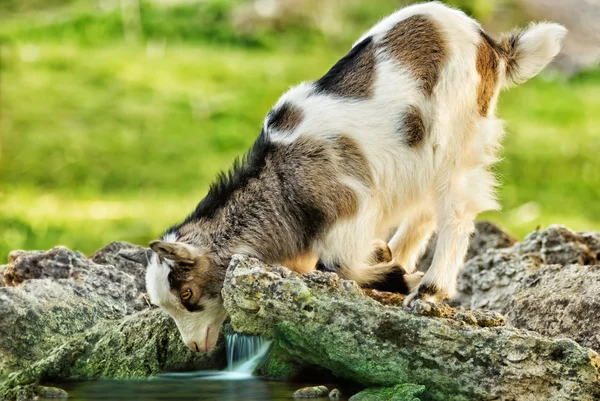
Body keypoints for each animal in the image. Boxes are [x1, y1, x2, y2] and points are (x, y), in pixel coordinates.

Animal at [124, 1, 564, 350]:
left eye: (187, 293)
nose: (196, 347)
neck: (280, 182)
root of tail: (491, 44)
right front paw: (386, 261)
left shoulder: (353, 202)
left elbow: (334, 263)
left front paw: (399, 278)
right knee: (425, 208)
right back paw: (395, 253)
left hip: (456, 135)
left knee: (455, 209)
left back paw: (428, 289)